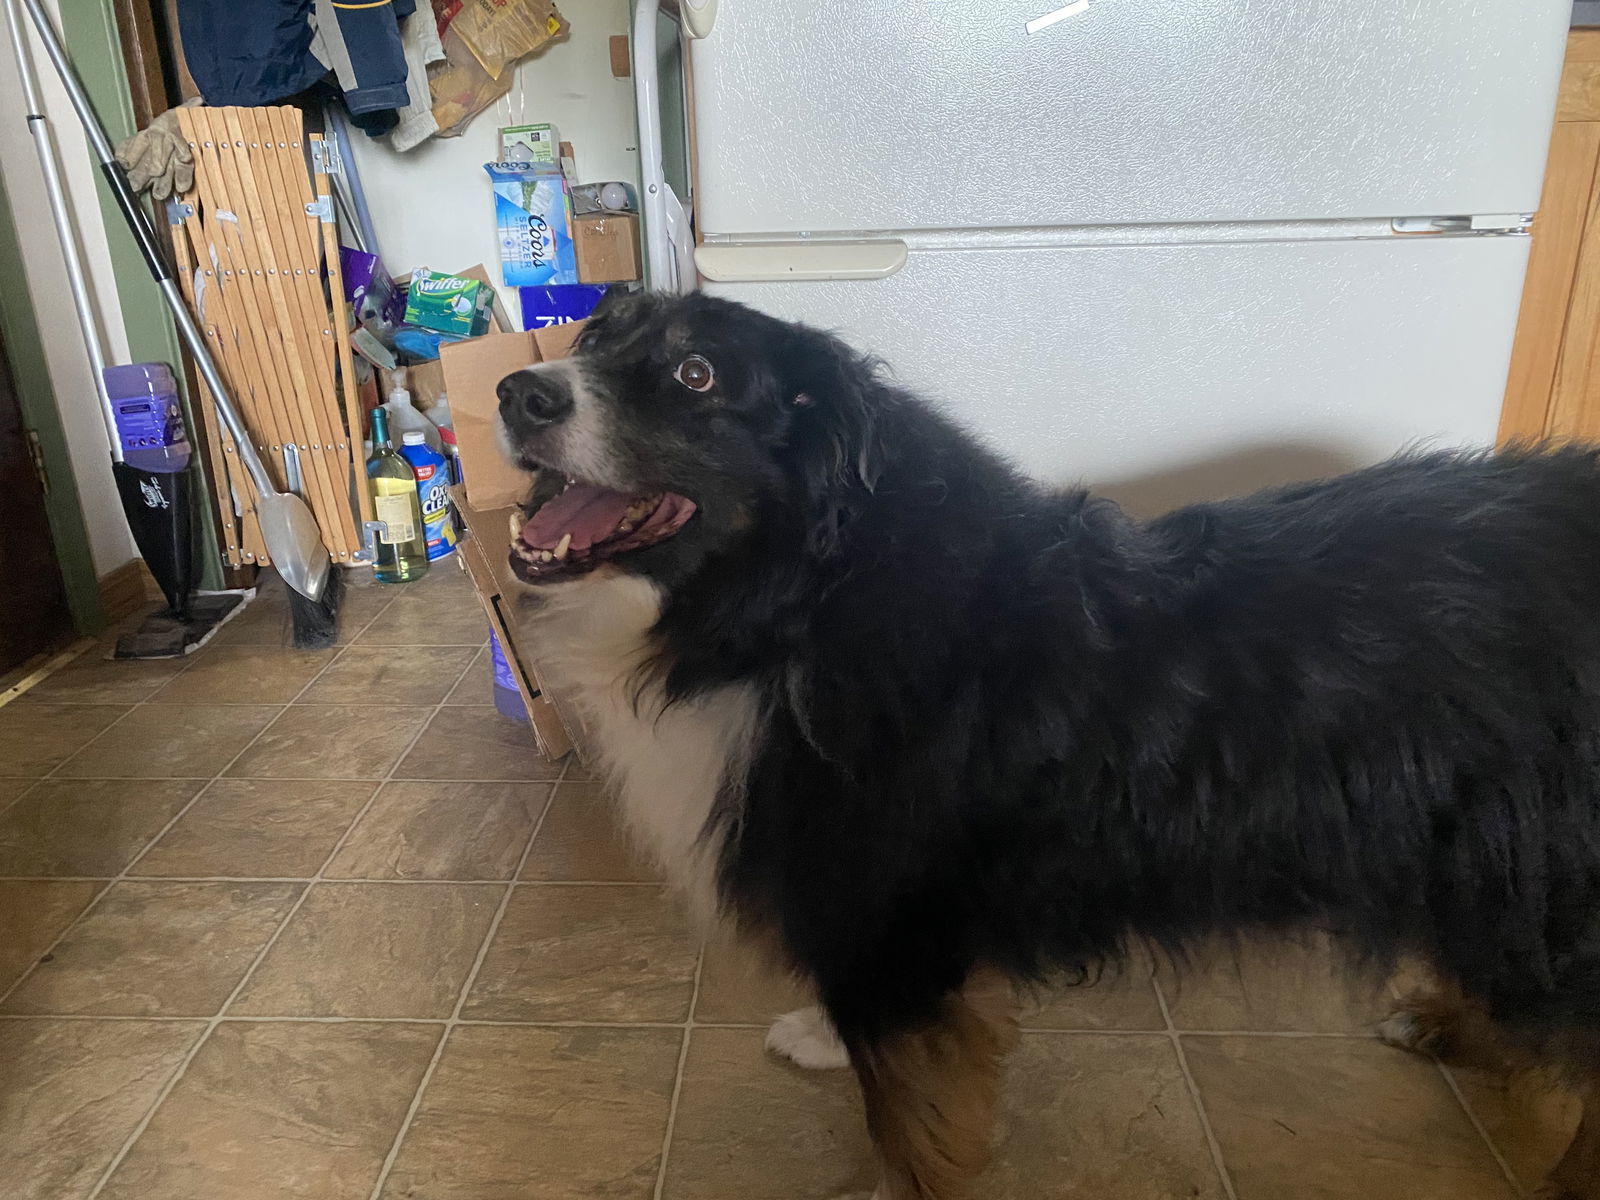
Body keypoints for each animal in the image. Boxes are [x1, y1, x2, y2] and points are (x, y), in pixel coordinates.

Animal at [496, 294, 1600, 1200]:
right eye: (591, 337)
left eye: (696, 375)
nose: (517, 391)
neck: (797, 601)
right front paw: (820, 1035)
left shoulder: (891, 918)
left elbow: (908, 1120)